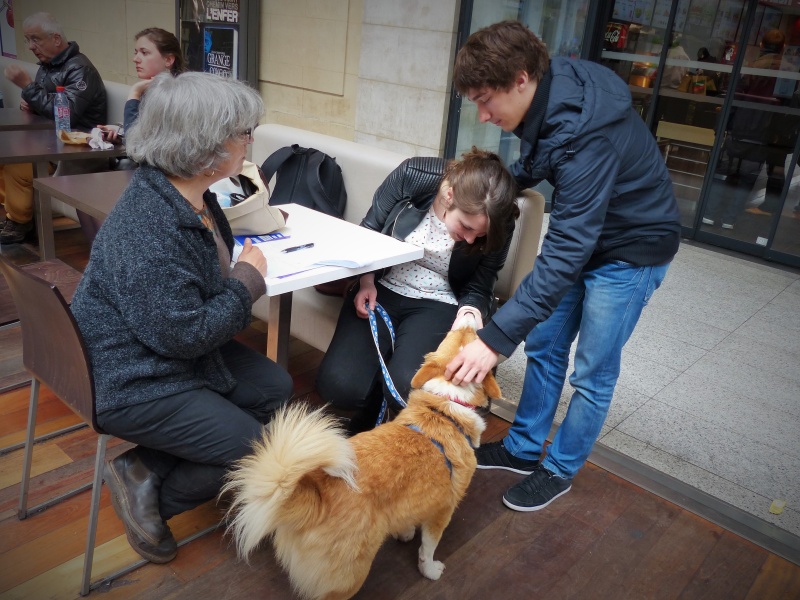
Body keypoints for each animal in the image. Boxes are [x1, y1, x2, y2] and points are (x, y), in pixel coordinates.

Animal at [223, 322, 500, 600]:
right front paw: (430, 570)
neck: (445, 406)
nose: (469, 318)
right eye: (471, 336)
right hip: (350, 576)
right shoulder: (443, 510)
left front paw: (405, 532)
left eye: (454, 334)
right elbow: (428, 548)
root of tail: (314, 493)